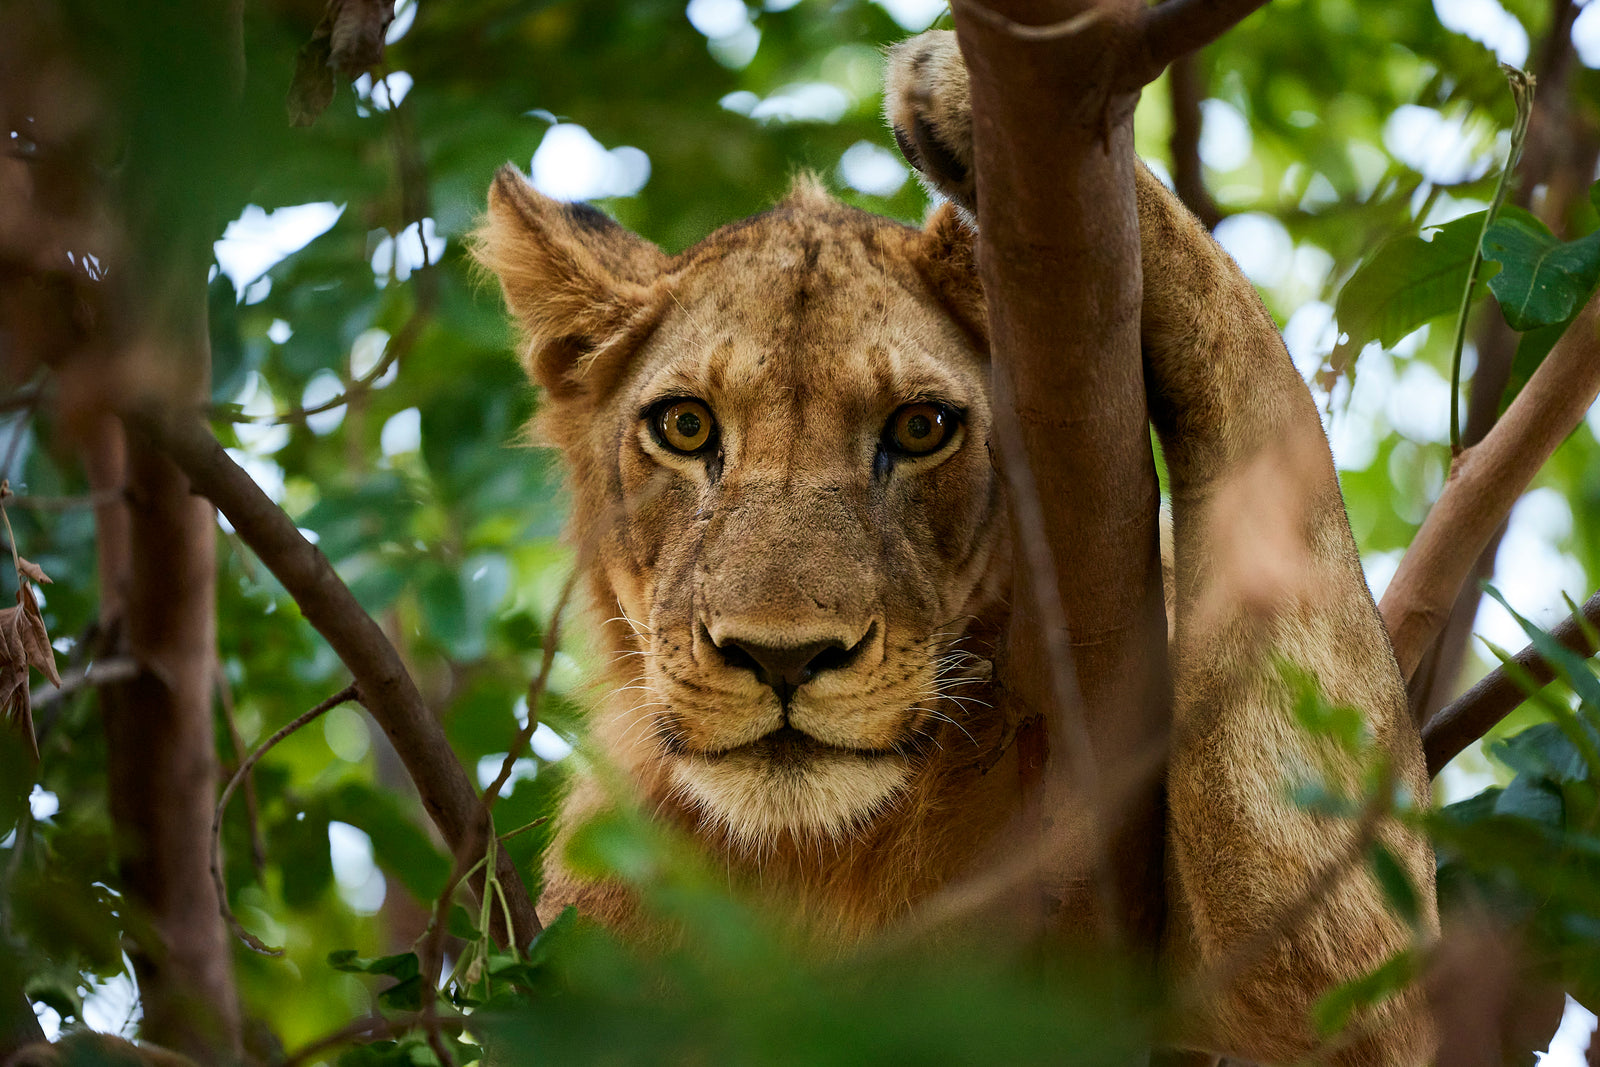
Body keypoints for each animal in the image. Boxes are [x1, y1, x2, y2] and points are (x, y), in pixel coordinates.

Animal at [474, 29, 1437, 1066]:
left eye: (922, 426)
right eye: (686, 427)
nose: (783, 658)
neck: (816, 861)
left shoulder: (1336, 978)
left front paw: (957, 89)